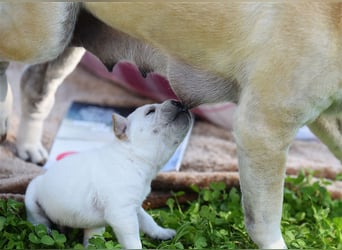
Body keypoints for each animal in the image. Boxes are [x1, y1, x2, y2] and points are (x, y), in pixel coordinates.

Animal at [25, 99, 192, 248]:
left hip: (92, 224)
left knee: (92, 236)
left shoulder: (135, 207)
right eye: (150, 111)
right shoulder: (123, 214)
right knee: (38, 219)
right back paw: (46, 230)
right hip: (31, 198)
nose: (179, 102)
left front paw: (162, 233)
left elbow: (148, 221)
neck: (133, 158)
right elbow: (133, 240)